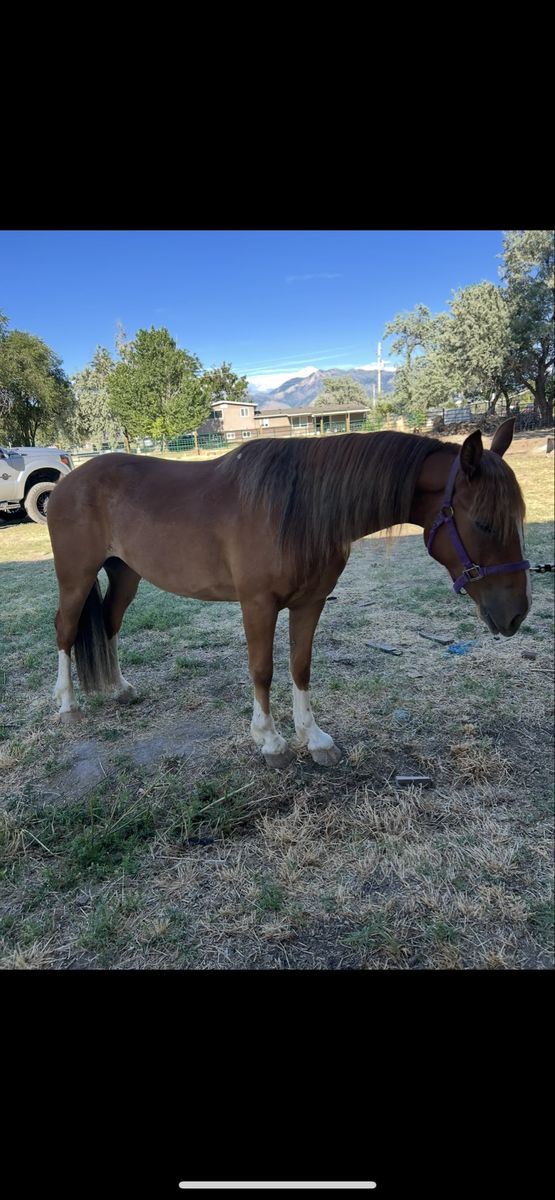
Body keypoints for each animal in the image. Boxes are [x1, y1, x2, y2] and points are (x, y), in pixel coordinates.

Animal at [46, 418, 531, 767]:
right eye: (484, 523)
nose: (516, 615)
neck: (295, 507)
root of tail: (66, 482)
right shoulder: (257, 605)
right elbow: (263, 670)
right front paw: (270, 741)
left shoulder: (310, 603)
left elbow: (301, 666)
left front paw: (313, 739)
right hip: (76, 577)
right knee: (66, 630)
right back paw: (67, 707)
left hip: (126, 574)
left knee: (110, 623)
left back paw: (118, 688)